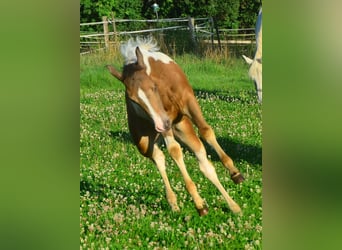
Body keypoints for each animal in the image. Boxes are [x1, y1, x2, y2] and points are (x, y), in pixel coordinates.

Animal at [107, 37, 243, 215]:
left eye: (153, 87)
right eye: (132, 99)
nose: (161, 125)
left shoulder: (188, 102)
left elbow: (206, 132)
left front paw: (234, 172)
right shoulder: (160, 123)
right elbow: (174, 151)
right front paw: (198, 202)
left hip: (182, 127)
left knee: (203, 161)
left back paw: (233, 205)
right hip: (146, 141)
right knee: (160, 158)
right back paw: (179, 202)